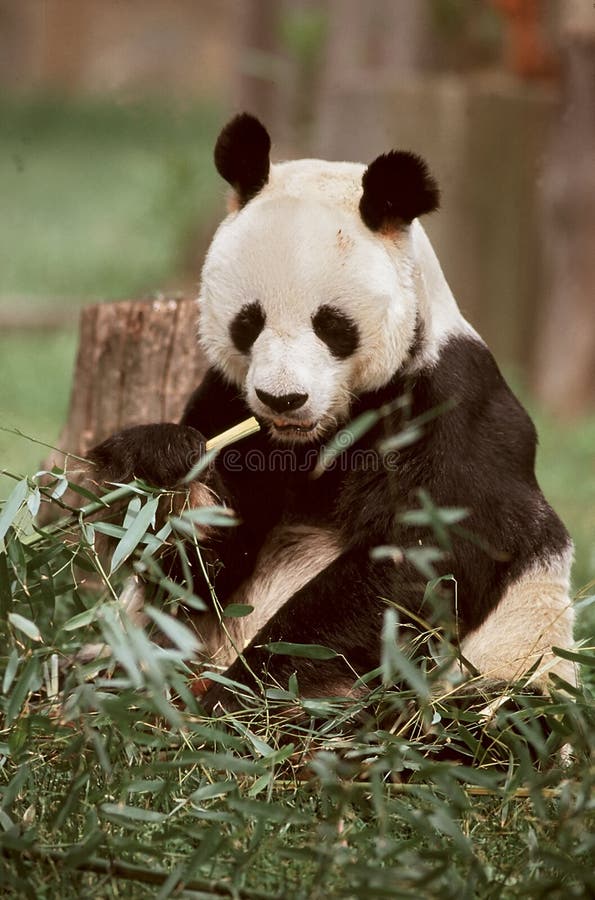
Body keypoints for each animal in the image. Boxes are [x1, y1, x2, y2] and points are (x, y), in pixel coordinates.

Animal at [89, 114, 576, 716]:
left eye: (332, 325)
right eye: (248, 322)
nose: (282, 399)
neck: (319, 436)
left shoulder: (451, 411)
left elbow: (423, 562)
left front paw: (247, 692)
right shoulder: (230, 401)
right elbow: (198, 569)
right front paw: (154, 462)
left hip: (511, 672)